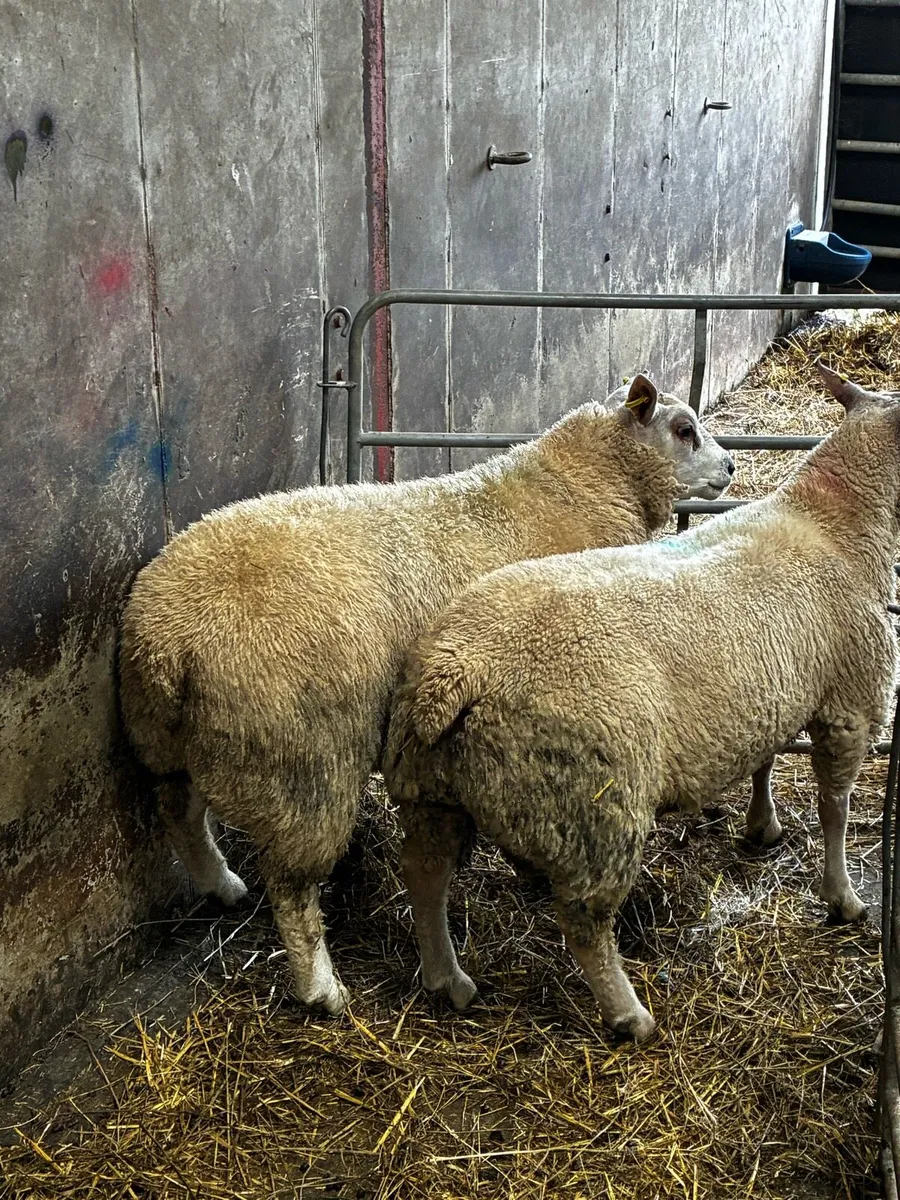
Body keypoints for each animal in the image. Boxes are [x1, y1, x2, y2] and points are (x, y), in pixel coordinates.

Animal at [119, 374, 735, 1015]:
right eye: (684, 430)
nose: (733, 467)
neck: (579, 487)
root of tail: (166, 639)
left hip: (180, 738)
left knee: (179, 808)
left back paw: (220, 885)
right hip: (300, 761)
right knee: (292, 886)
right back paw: (322, 988)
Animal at [382, 363, 898, 1042]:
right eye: (682, 430)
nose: (730, 468)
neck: (835, 521)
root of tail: (458, 666)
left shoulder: (770, 687)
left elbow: (764, 759)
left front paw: (763, 826)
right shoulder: (850, 703)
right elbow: (835, 814)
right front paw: (842, 897)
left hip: (433, 786)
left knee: (425, 875)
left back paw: (447, 978)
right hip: (597, 806)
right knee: (584, 923)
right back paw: (628, 1013)